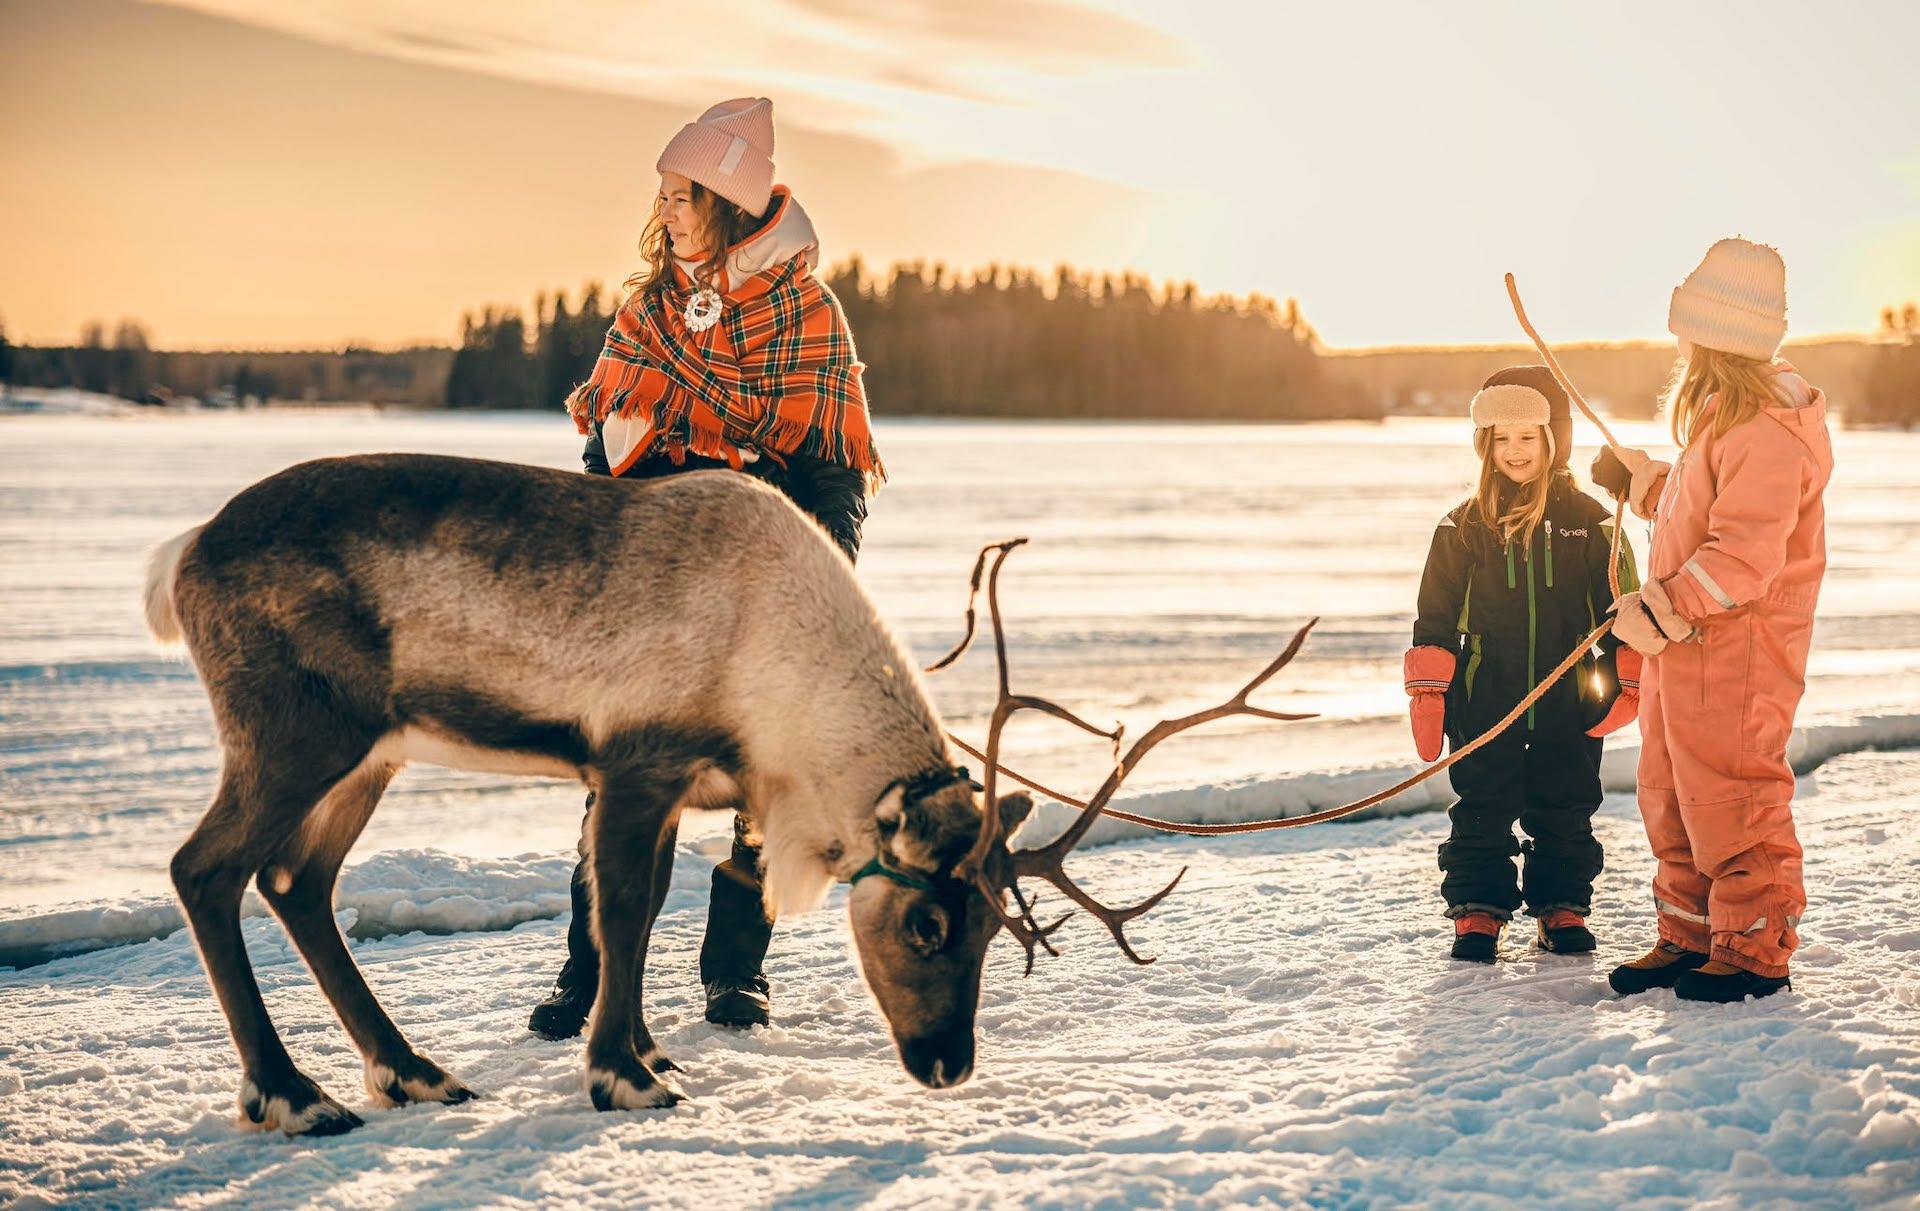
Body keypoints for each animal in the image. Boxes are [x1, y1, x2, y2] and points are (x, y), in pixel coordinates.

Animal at [142, 452, 1312, 1135]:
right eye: (929, 922)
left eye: (993, 928)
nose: (947, 1065)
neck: (776, 697)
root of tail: (182, 553)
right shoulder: (633, 759)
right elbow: (618, 909)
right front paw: (625, 1075)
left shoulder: (681, 787)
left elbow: (654, 903)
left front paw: (645, 1048)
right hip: (296, 730)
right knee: (207, 867)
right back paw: (293, 1095)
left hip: (370, 751)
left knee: (298, 881)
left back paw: (411, 1072)